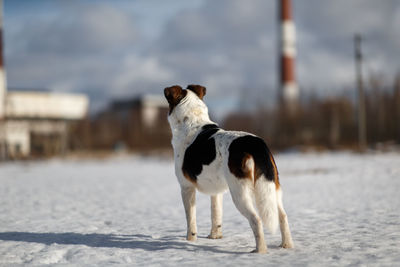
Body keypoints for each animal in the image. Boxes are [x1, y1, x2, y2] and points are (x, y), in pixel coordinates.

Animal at [163, 84, 294, 253]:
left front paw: (190, 241)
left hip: (240, 193)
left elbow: (190, 219)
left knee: (256, 219)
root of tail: (256, 144)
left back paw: (260, 251)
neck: (192, 121)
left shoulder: (186, 187)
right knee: (282, 216)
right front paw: (214, 237)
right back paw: (286, 246)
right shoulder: (216, 191)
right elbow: (216, 215)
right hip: (271, 189)